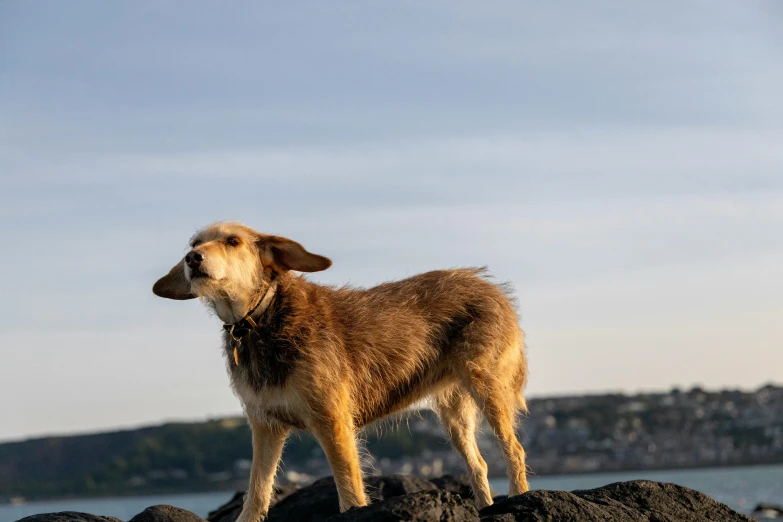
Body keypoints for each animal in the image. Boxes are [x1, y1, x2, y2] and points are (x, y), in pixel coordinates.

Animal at [152, 221, 532, 516]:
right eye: (194, 244)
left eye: (232, 241)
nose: (192, 259)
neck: (261, 318)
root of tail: (491, 288)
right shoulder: (265, 425)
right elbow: (257, 491)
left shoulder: (332, 419)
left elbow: (349, 485)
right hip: (454, 413)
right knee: (478, 462)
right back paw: (485, 507)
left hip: (486, 385)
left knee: (514, 449)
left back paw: (517, 498)